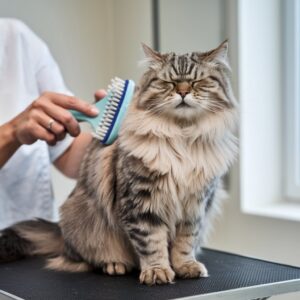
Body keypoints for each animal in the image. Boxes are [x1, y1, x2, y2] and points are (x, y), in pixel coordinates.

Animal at [0, 41, 239, 284]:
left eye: (196, 82)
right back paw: (114, 265)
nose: (182, 92)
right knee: (84, 259)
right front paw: (157, 271)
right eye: (168, 83)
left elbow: (185, 243)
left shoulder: (195, 206)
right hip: (81, 219)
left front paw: (185, 266)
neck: (182, 137)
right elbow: (151, 243)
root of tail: (61, 233)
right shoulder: (141, 202)